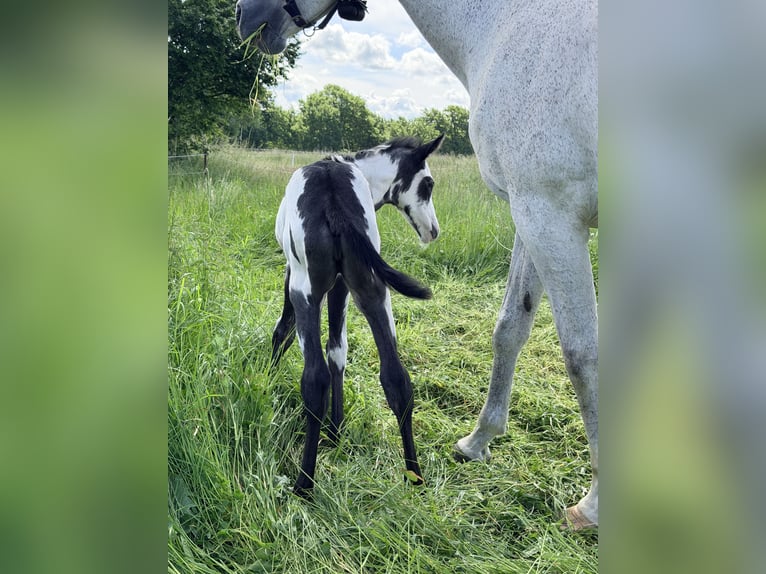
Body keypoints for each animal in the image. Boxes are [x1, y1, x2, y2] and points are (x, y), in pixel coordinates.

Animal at [271, 135, 444, 497]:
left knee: (314, 379)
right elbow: (338, 350)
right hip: (373, 290)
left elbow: (284, 330)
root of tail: (334, 197)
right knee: (397, 379)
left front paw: (266, 378)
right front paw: (336, 431)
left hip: (305, 290)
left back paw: (304, 484)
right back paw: (414, 475)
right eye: (428, 184)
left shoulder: (293, 276)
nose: (433, 231)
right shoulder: (342, 287)